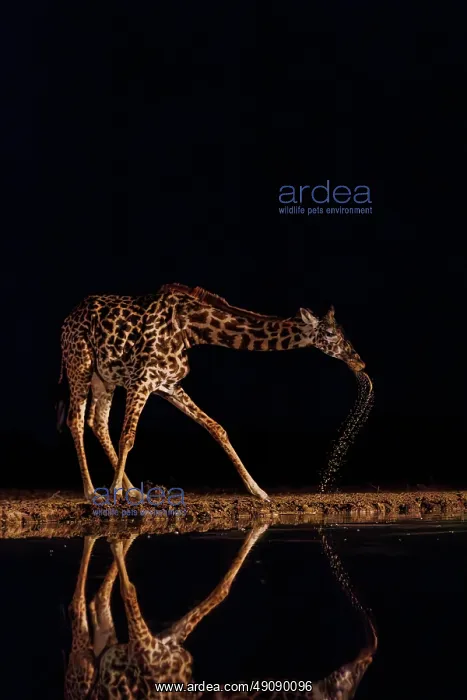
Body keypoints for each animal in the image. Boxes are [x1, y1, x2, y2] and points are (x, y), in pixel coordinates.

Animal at [59, 283, 366, 501]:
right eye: (330, 334)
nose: (359, 362)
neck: (191, 330)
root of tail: (66, 321)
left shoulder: (168, 386)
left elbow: (217, 428)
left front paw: (259, 491)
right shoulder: (142, 381)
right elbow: (128, 437)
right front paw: (115, 493)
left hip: (104, 378)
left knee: (97, 422)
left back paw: (133, 490)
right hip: (80, 365)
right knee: (76, 421)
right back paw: (92, 492)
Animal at [64, 525, 376, 700]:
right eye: (341, 691)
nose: (369, 650)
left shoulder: (160, 641)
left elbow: (219, 593)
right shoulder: (146, 647)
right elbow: (129, 588)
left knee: (93, 607)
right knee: (82, 610)